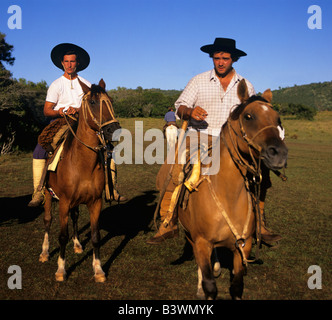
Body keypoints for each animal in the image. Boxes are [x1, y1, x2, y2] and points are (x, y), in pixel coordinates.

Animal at [38, 79, 120, 282]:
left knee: (74, 217)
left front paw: (98, 270)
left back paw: (76, 244)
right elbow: (62, 236)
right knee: (47, 221)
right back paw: (44, 252)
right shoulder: (64, 202)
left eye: (111, 101)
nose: (114, 130)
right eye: (93, 102)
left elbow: (96, 236)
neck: (82, 164)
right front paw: (61, 270)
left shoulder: (95, 202)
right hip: (49, 195)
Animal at [176, 79, 288, 298]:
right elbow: (209, 284)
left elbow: (237, 285)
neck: (228, 196)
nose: (279, 153)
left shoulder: (243, 245)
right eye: (248, 116)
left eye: (277, 118)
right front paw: (203, 286)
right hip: (190, 236)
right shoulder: (201, 242)